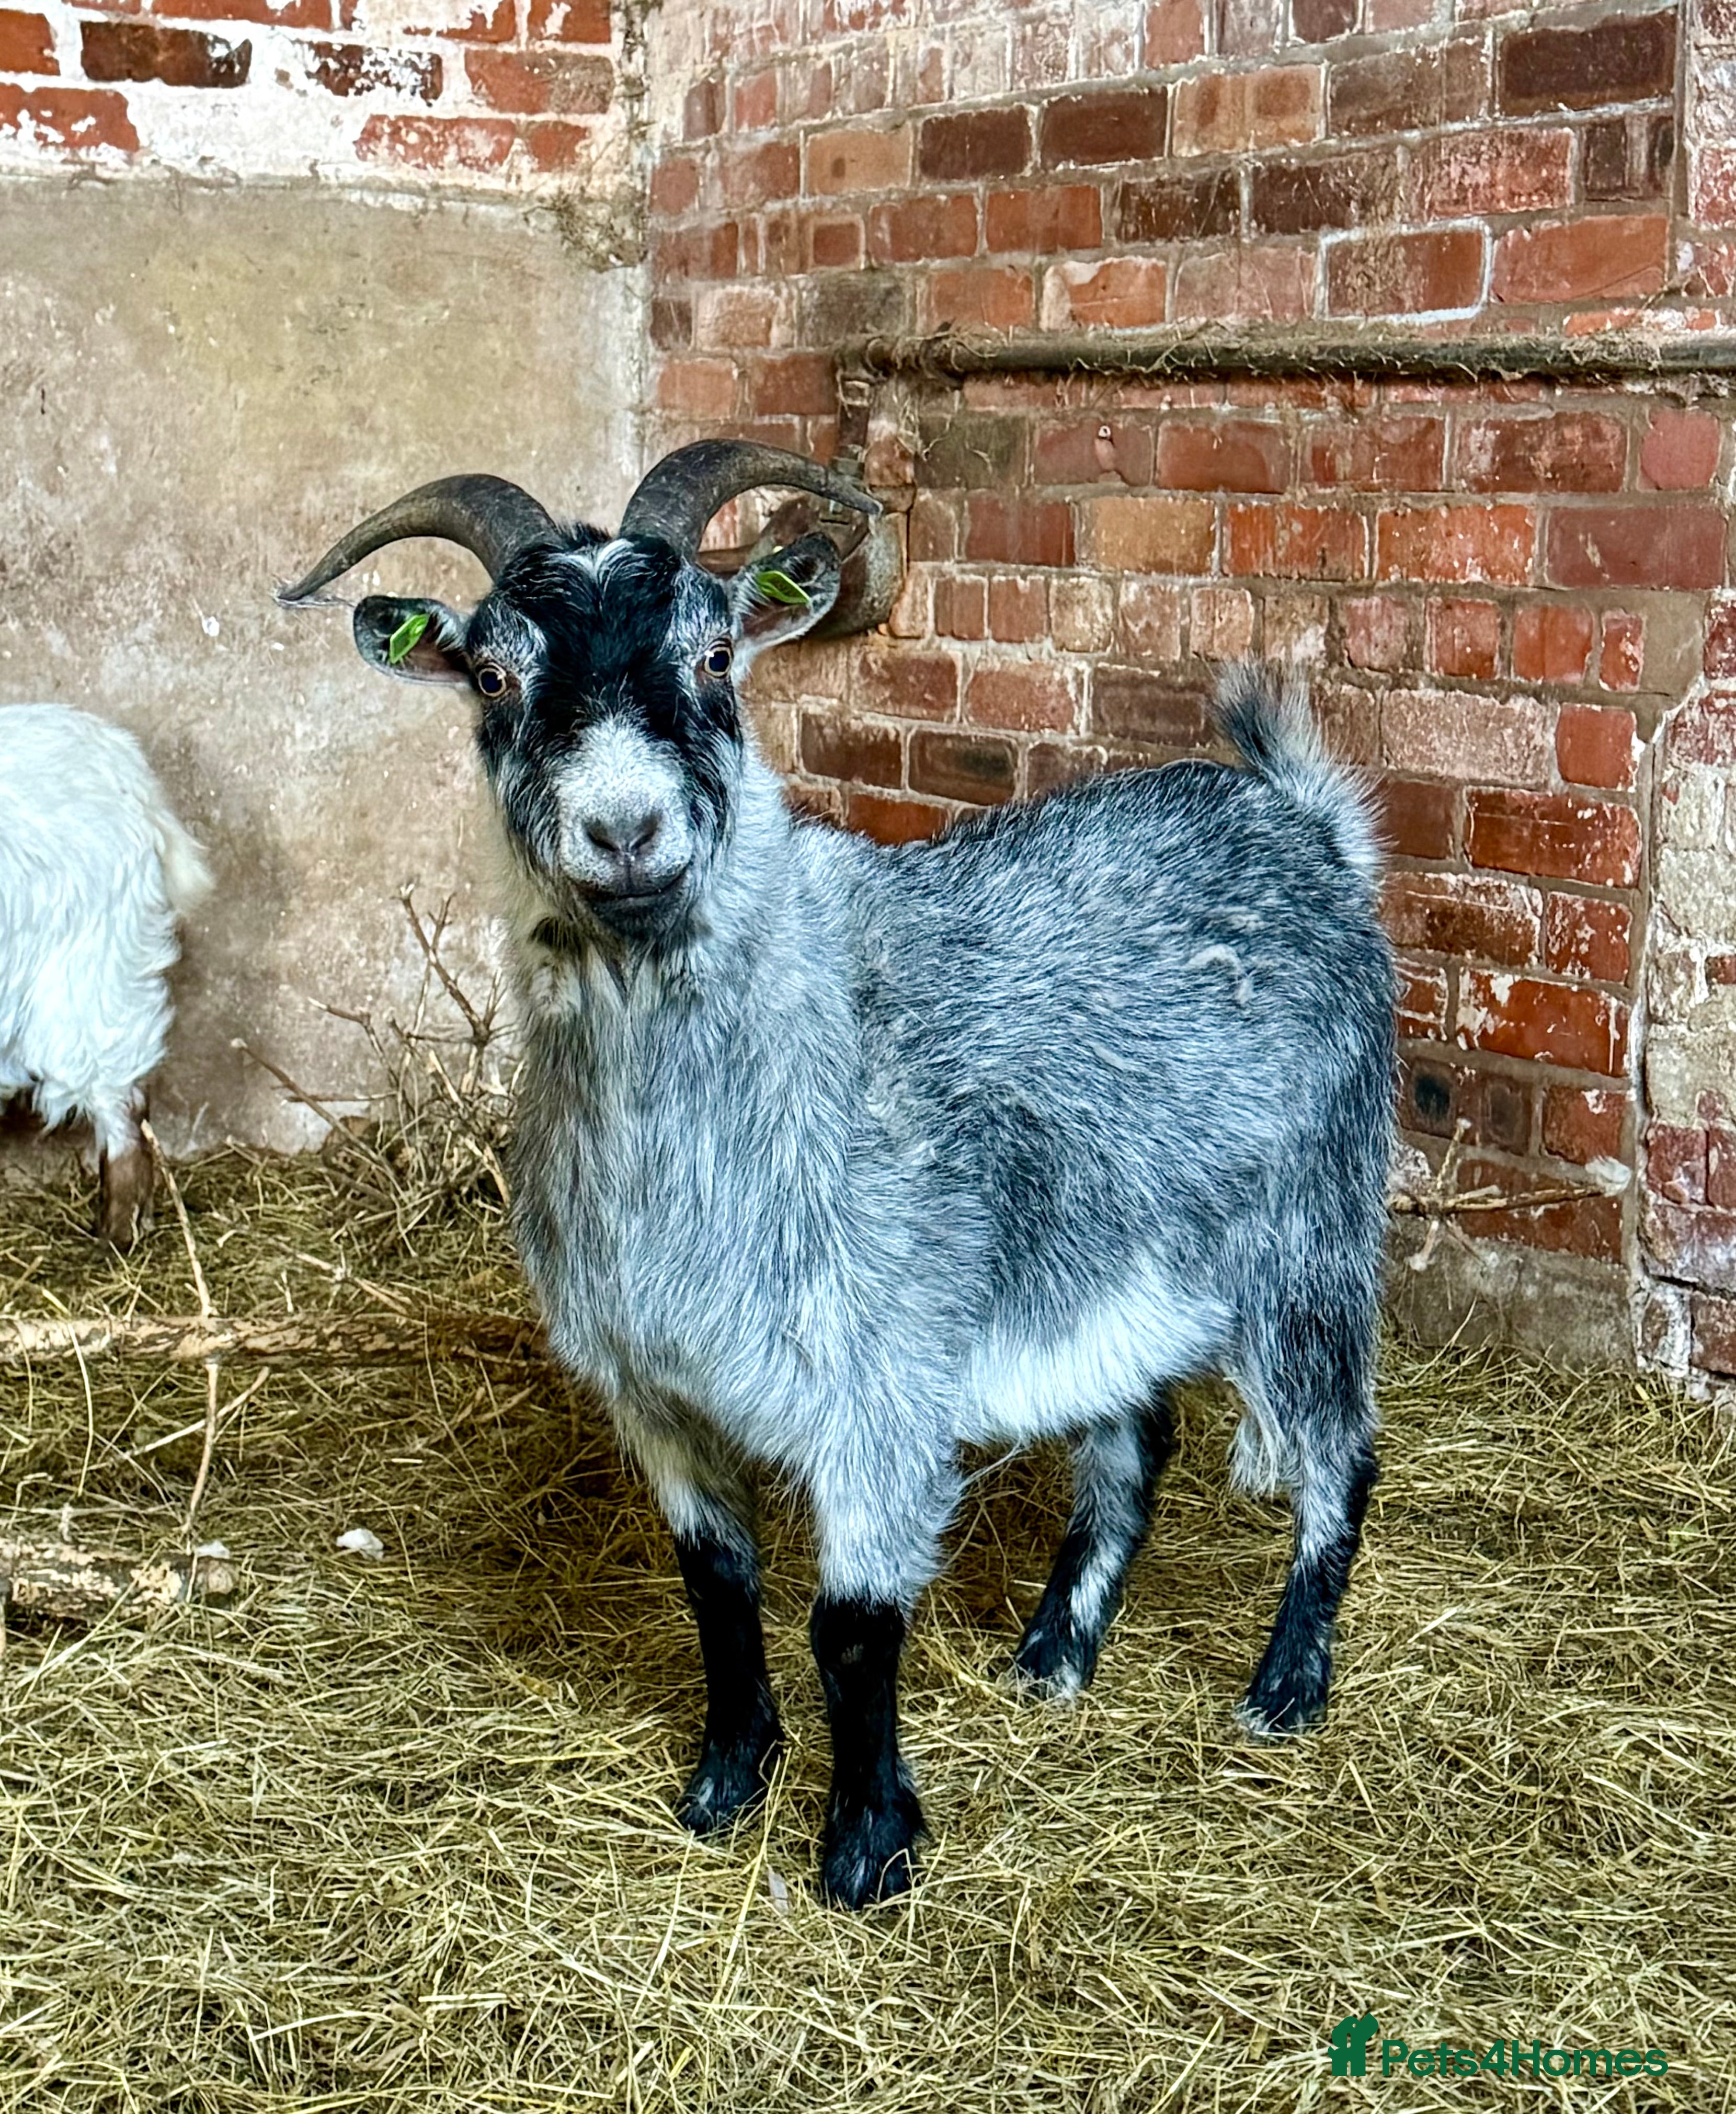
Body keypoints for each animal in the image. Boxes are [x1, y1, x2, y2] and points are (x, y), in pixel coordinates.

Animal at [283, 444, 1396, 1909]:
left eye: (713, 653)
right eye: (491, 675)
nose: (624, 829)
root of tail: (1306, 827)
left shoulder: (879, 1379)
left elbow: (852, 1624)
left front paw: (865, 1843)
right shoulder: (656, 1392)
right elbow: (717, 1583)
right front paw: (725, 1778)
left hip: (1309, 1230)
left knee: (1339, 1450)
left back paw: (1284, 1685)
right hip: (1118, 1258)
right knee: (1134, 1440)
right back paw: (1055, 1653)